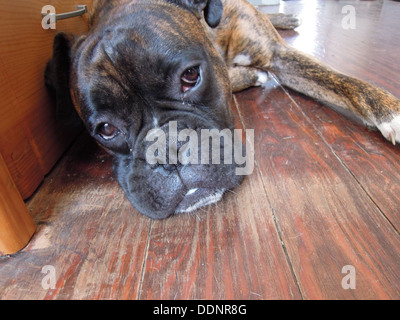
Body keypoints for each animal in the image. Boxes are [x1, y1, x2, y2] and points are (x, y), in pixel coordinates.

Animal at [45, 0, 400, 220]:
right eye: (106, 129)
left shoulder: (279, 56)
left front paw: (391, 111)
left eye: (191, 76)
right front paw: (247, 75)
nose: (169, 150)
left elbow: (346, 82)